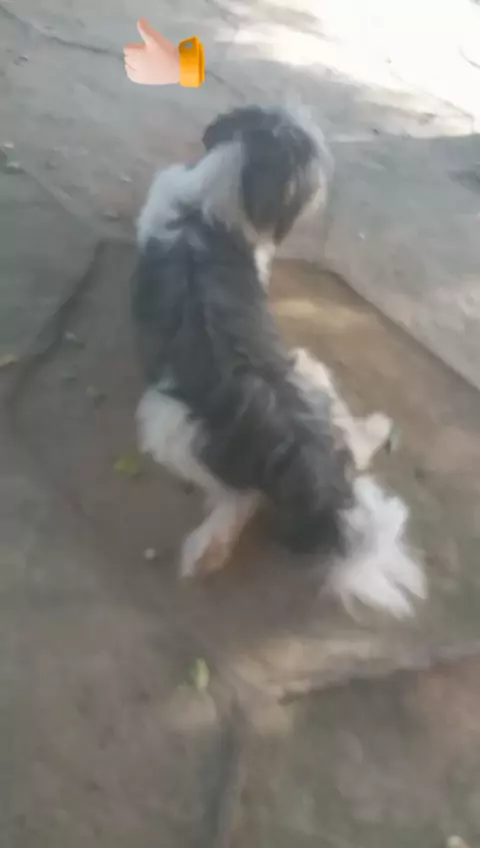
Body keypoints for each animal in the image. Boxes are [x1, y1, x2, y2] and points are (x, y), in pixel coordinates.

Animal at [132, 105, 426, 617]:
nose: (326, 190)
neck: (206, 210)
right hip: (304, 373)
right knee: (327, 453)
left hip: (170, 425)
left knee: (241, 494)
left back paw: (210, 547)